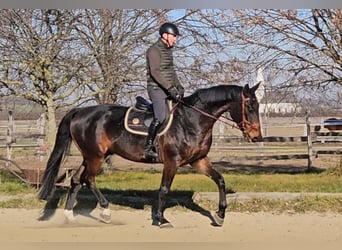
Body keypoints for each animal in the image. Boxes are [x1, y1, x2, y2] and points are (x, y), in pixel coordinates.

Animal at [38, 83, 262, 228]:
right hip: (95, 156)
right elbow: (164, 189)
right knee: (89, 179)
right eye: (250, 106)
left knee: (76, 180)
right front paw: (161, 219)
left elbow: (220, 180)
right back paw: (106, 211)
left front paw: (220, 215)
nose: (256, 137)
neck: (191, 120)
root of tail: (80, 111)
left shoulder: (198, 161)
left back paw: (70, 216)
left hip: (90, 156)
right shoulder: (172, 162)